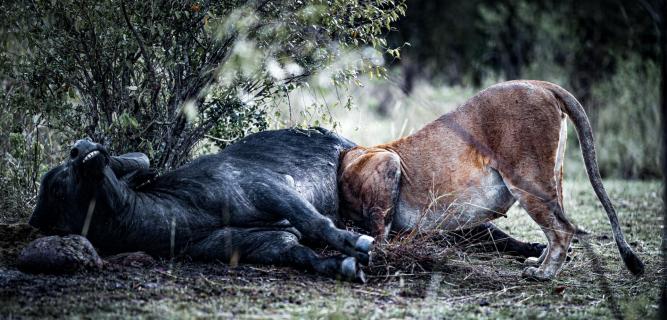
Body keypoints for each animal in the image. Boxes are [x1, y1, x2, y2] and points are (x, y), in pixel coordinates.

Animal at [342, 80, 644, 280]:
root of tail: (543, 85)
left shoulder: (386, 161)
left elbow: (378, 231)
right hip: (552, 177)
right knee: (559, 223)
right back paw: (538, 261)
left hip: (527, 178)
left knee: (563, 229)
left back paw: (543, 274)